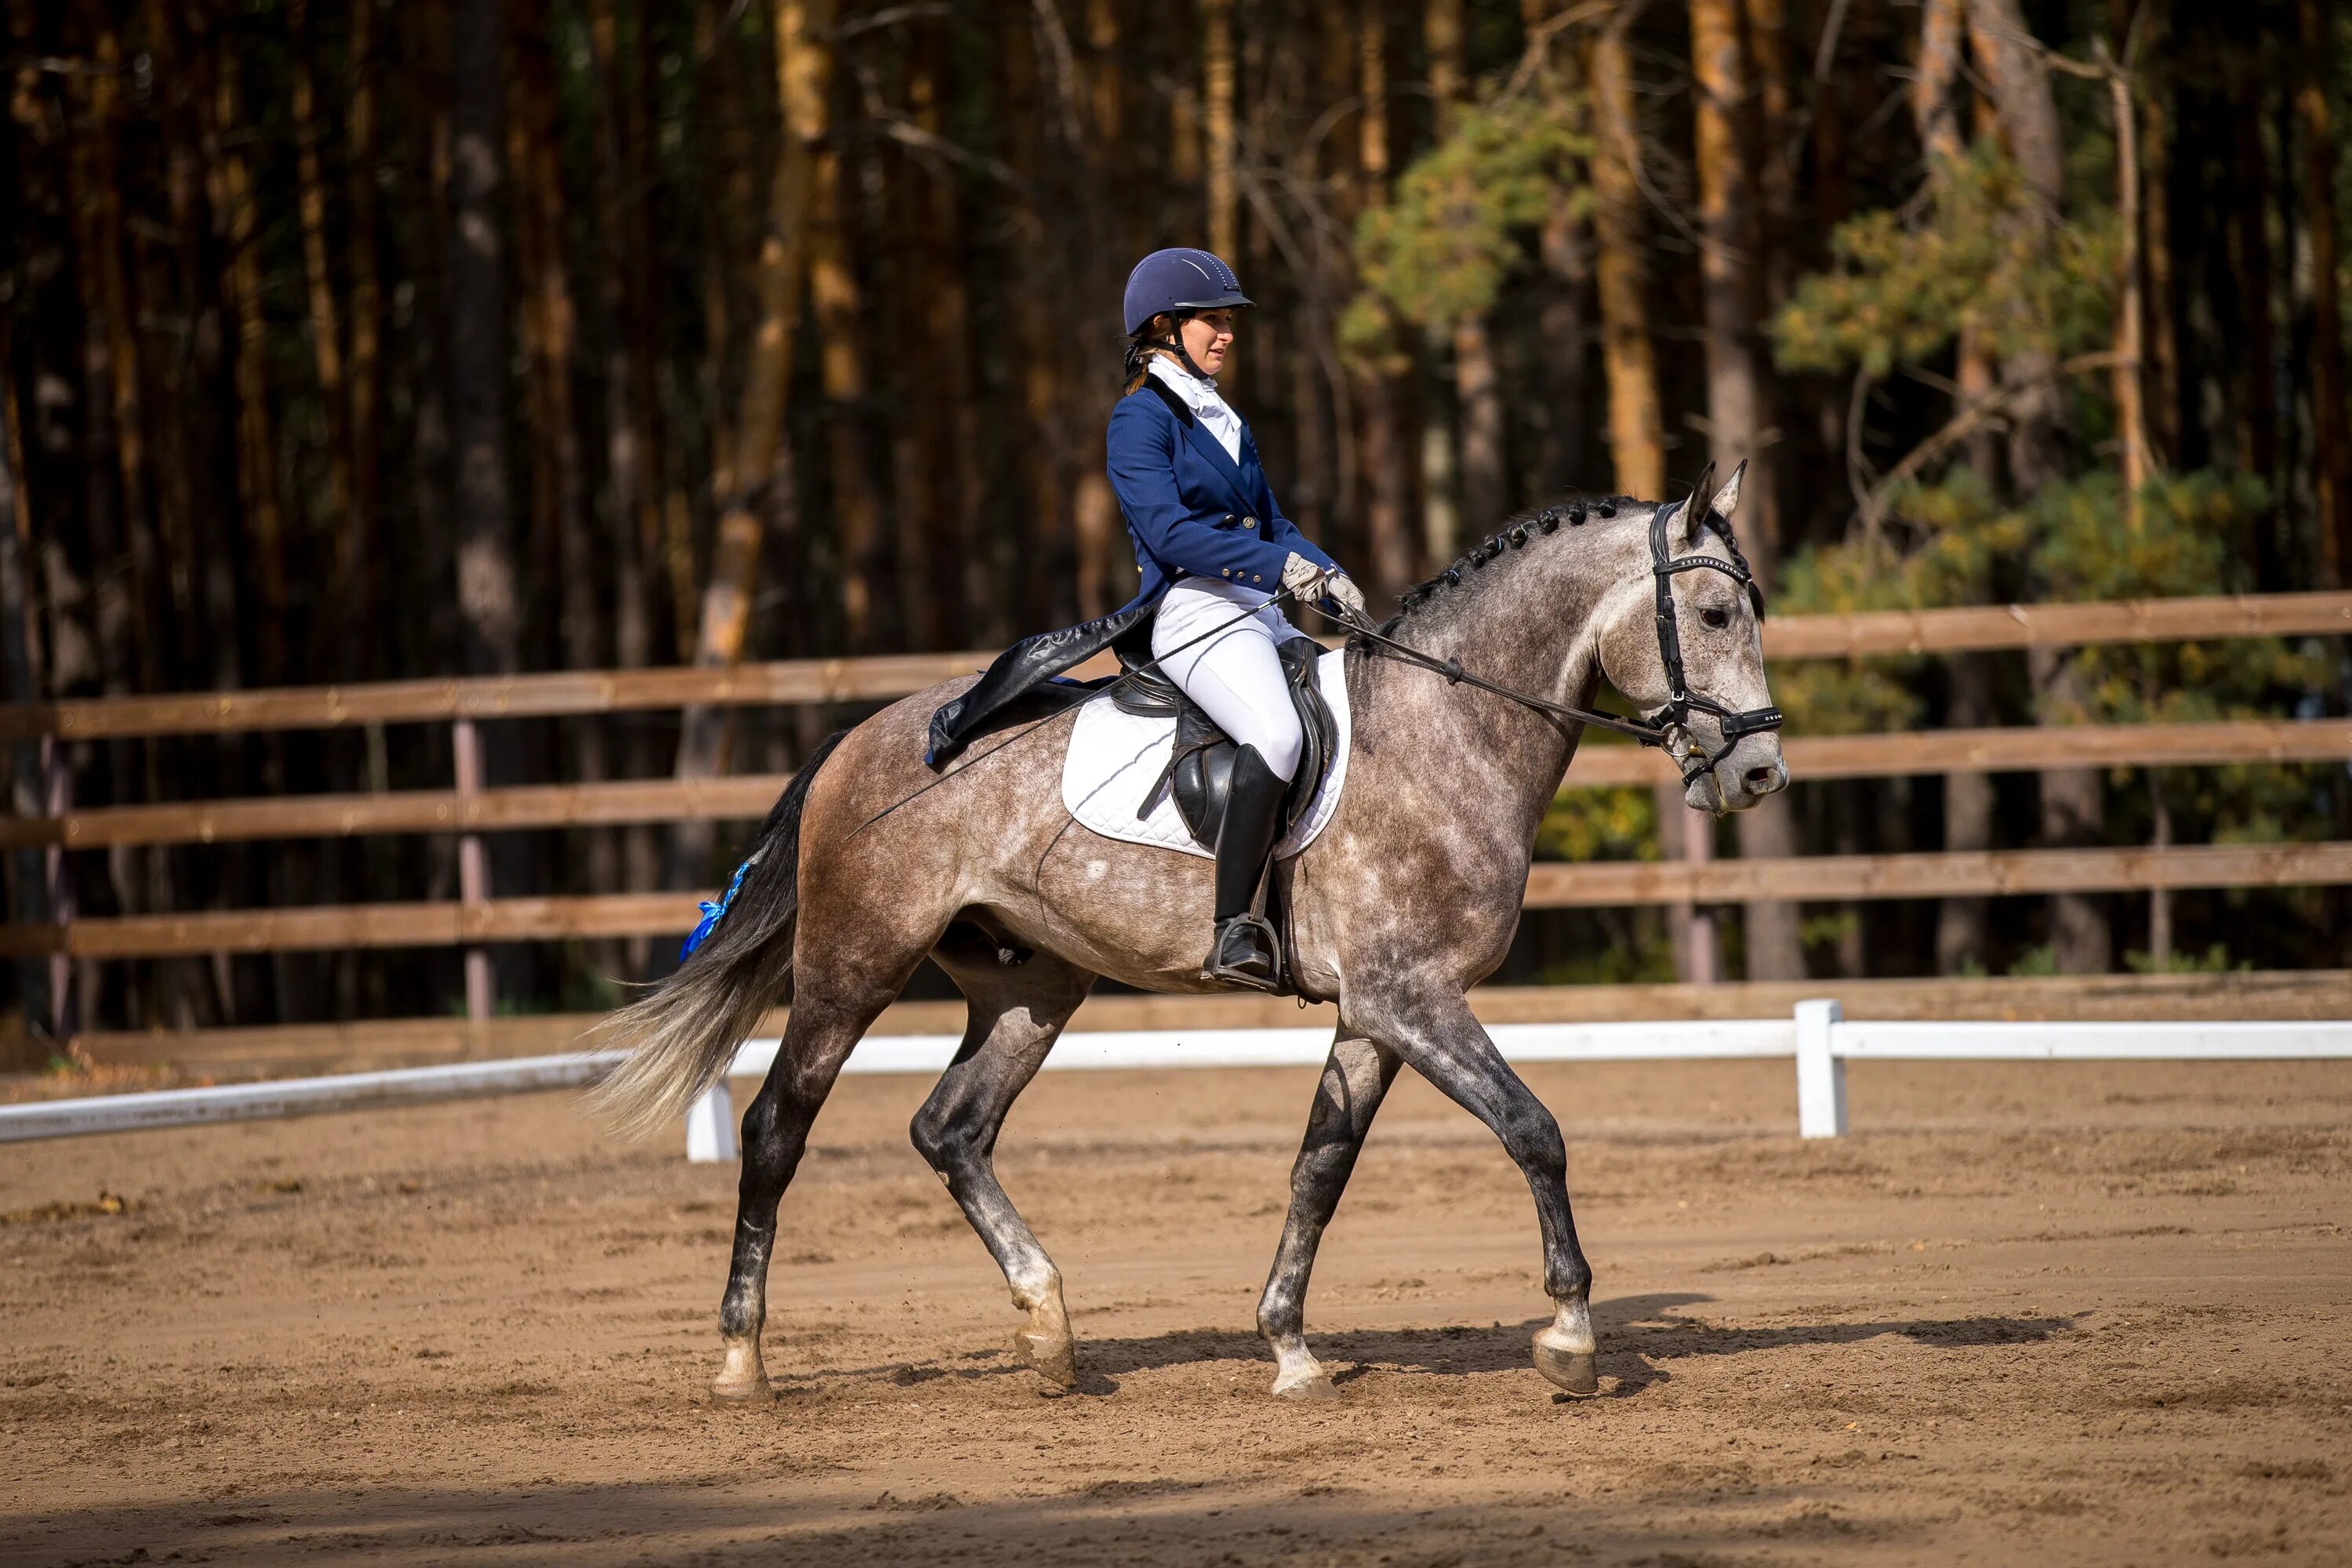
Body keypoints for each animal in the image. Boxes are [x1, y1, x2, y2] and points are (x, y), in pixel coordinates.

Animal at [588, 460, 1778, 1401]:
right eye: (1717, 617)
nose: (1761, 773)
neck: (1451, 728)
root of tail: (855, 739)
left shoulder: (1375, 1014)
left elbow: (1319, 1168)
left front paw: (1289, 1348)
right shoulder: (1411, 998)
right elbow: (1534, 1129)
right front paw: (1571, 1338)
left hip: (1033, 985)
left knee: (951, 1129)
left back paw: (1051, 1332)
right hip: (852, 967)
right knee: (775, 1131)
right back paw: (742, 1361)